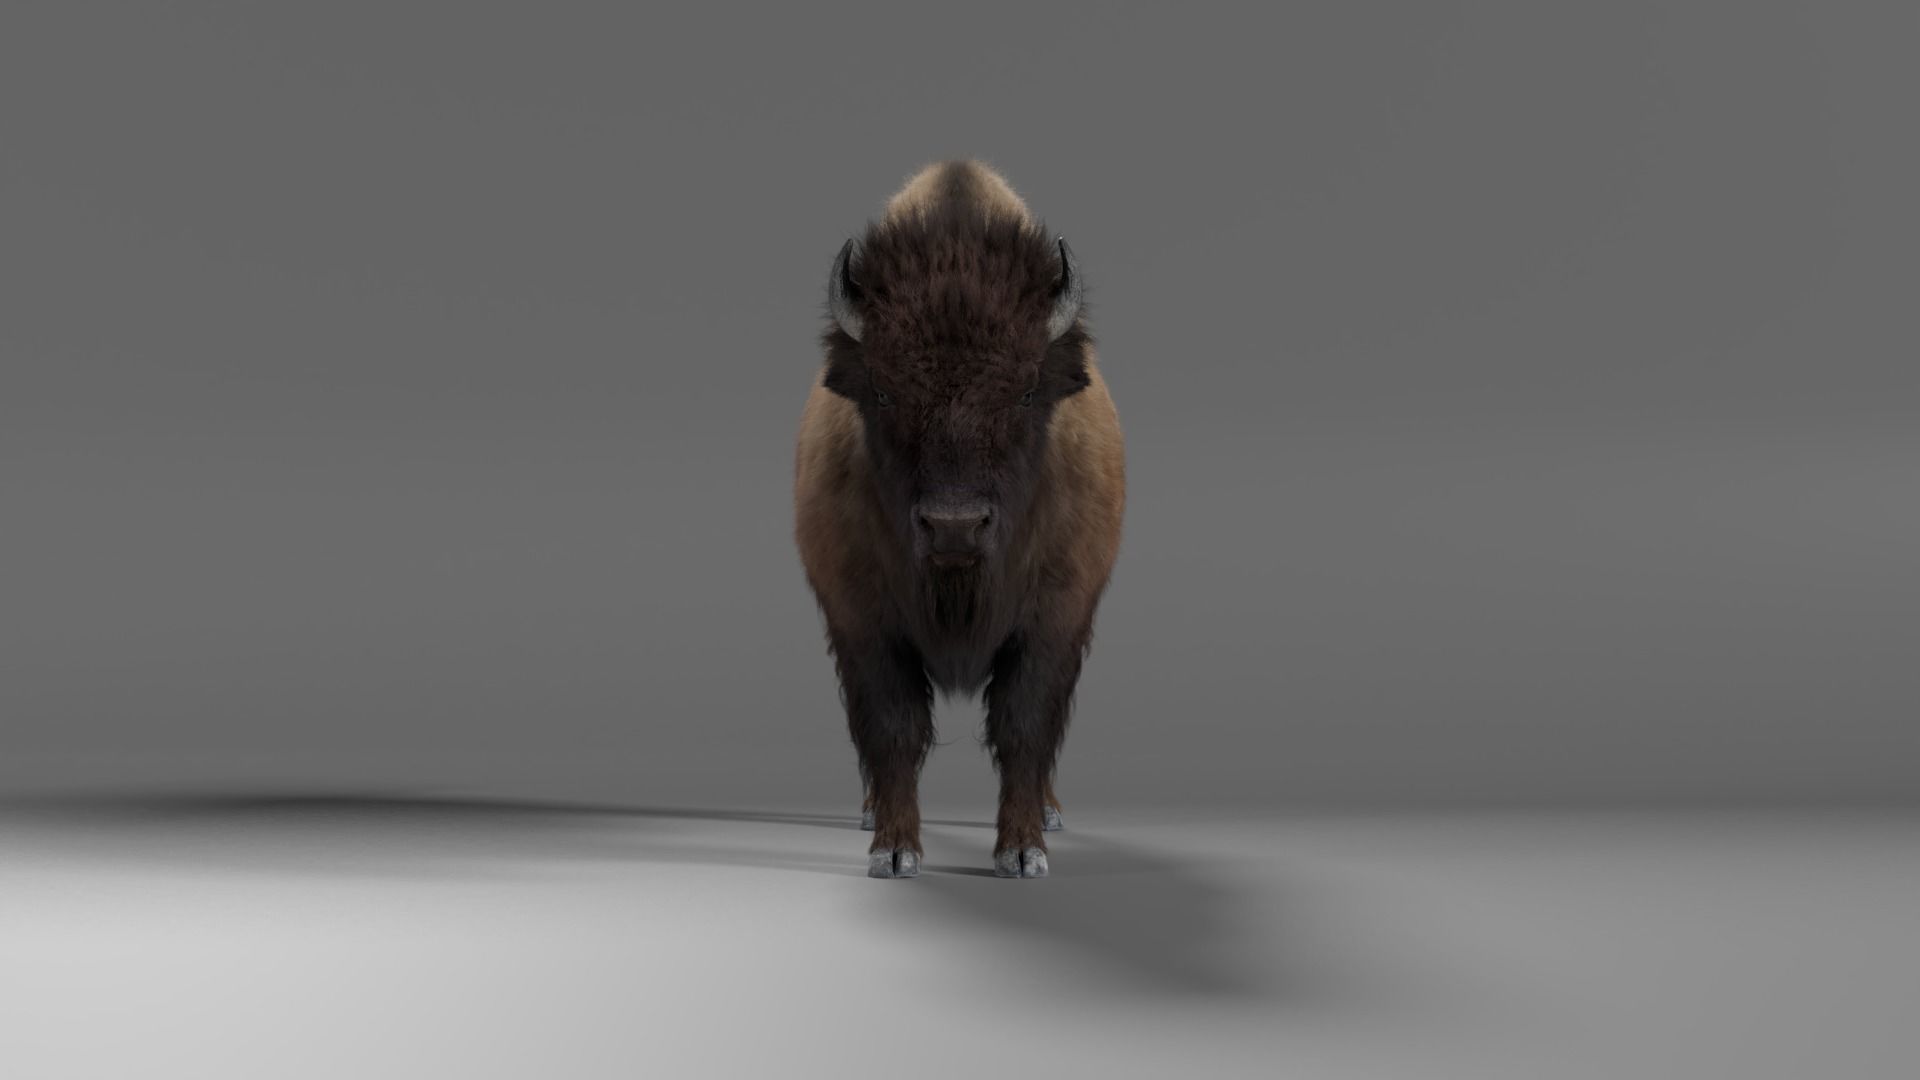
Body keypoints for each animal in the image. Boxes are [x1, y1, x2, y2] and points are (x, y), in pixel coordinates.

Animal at [793, 161, 1126, 879]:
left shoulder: (1055, 618)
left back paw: (1051, 814)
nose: (954, 526)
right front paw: (892, 851)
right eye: (883, 390)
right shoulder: (862, 621)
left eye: (1027, 390)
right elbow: (893, 725)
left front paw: (1023, 852)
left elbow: (1025, 723)